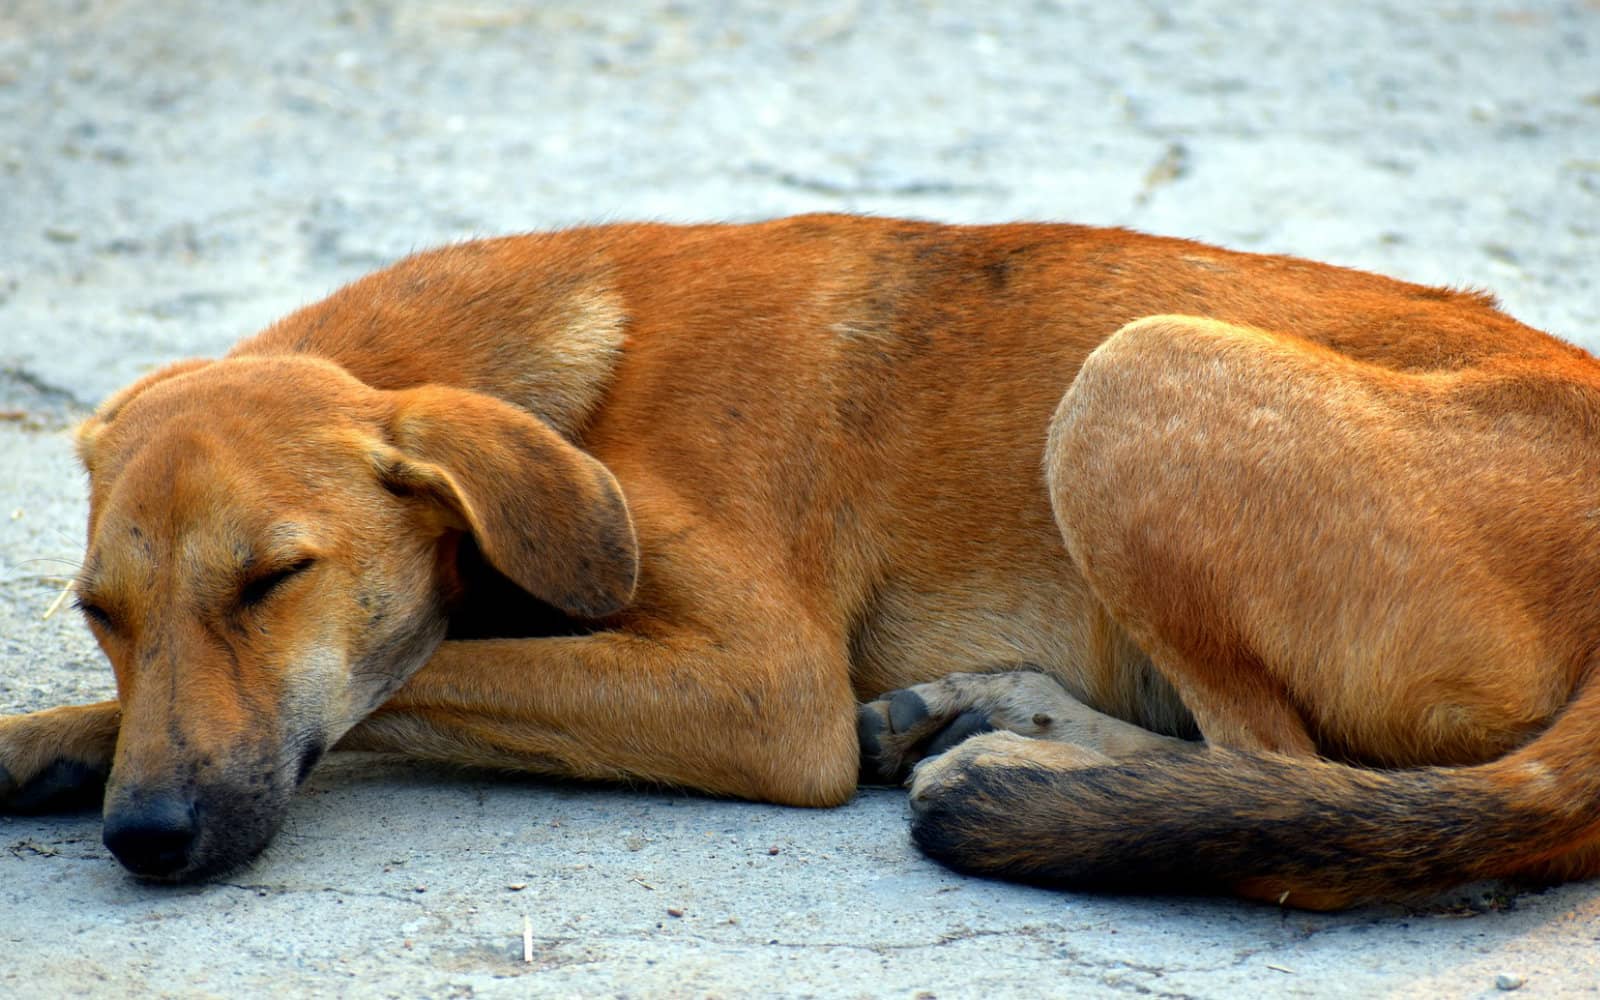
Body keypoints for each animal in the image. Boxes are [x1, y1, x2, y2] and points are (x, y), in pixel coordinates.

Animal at [3, 216, 1600, 902]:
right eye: (101, 614)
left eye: (274, 581)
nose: (145, 838)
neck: (582, 383)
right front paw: (49, 742)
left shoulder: (765, 692)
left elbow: (422, 672)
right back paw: (1000, 719)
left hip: (1133, 379)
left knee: (1286, 773)